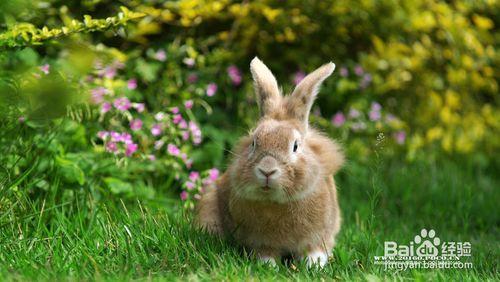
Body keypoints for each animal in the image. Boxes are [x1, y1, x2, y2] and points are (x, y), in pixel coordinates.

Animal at [195, 56, 344, 266]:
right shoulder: (259, 241)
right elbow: (265, 254)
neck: (276, 202)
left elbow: (315, 252)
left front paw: (313, 266)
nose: (267, 170)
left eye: (295, 146)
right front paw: (268, 266)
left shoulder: (319, 237)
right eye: (254, 143)